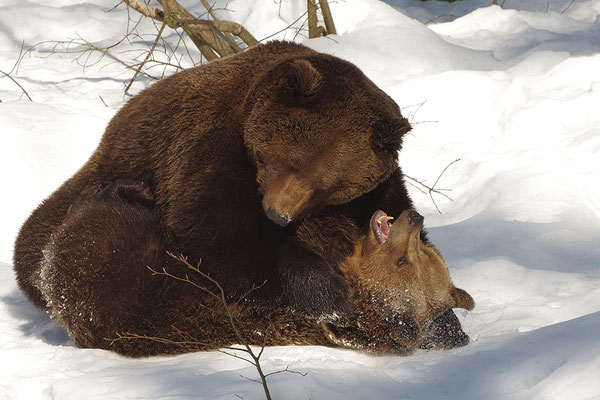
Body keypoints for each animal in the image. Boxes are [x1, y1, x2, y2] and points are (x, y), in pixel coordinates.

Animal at [14, 40, 464, 340]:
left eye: (326, 187)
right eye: (291, 163)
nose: (277, 214)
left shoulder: (377, 186)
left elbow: (391, 207)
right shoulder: (210, 144)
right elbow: (218, 235)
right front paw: (333, 295)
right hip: (102, 173)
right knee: (36, 245)